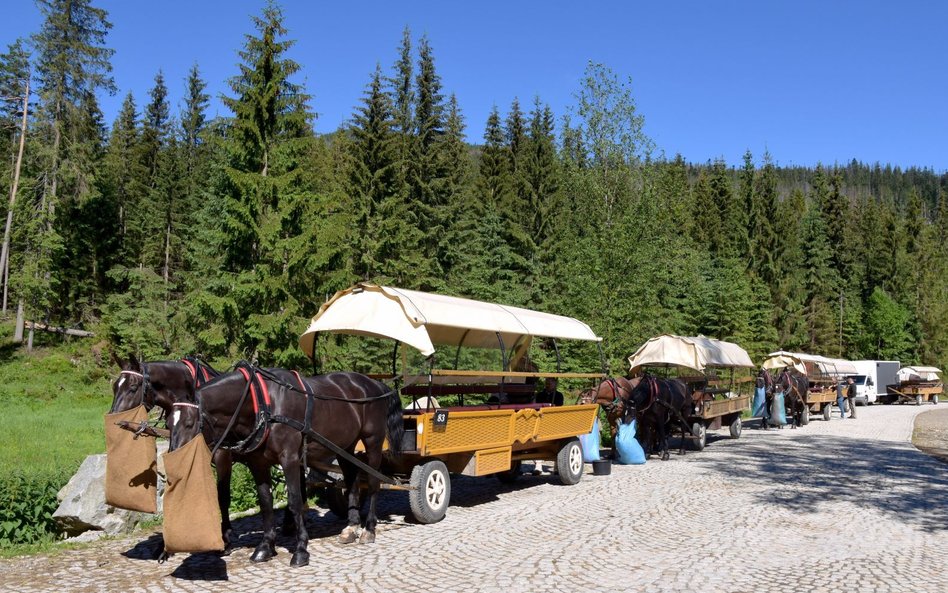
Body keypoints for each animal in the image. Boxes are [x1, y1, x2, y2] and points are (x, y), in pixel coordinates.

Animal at [168, 364, 404, 568]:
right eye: (168, 423)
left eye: (189, 423)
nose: (174, 464)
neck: (262, 402)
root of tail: (374, 384)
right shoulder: (258, 463)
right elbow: (265, 503)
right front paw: (265, 547)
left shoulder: (289, 459)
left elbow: (295, 501)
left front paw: (301, 550)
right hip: (345, 445)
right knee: (352, 480)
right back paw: (351, 527)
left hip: (373, 442)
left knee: (373, 483)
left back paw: (369, 529)